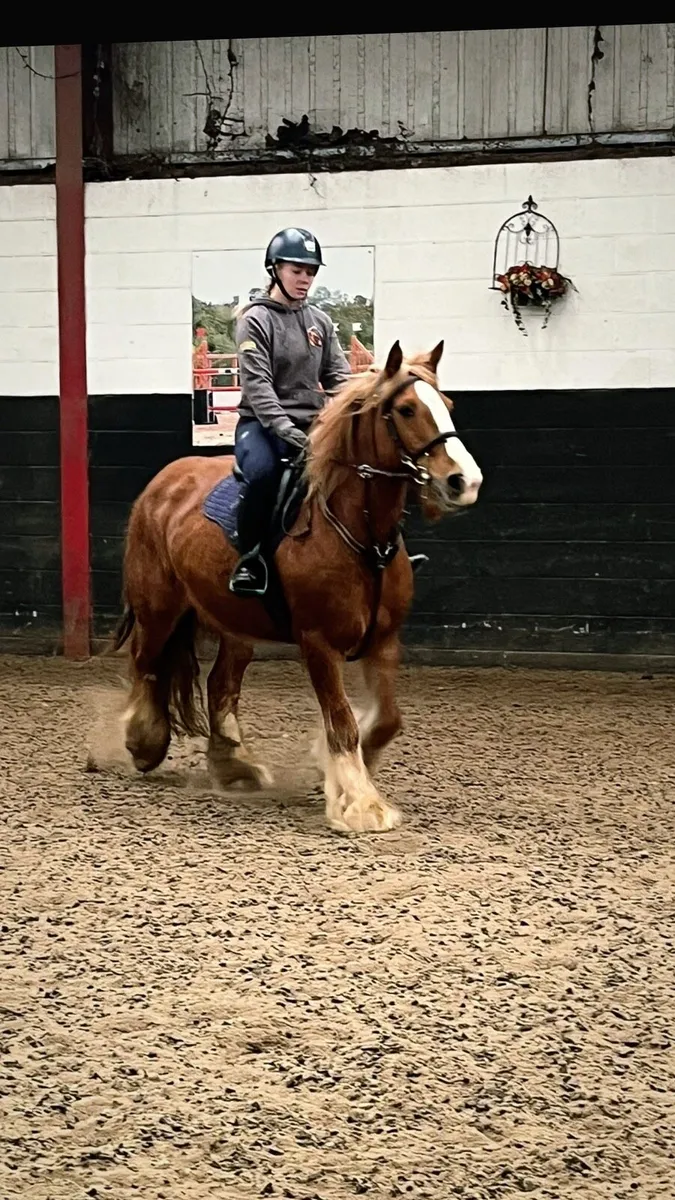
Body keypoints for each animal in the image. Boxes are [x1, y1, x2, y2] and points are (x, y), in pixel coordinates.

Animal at [110, 339, 483, 835]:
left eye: (447, 404)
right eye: (405, 409)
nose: (465, 481)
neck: (359, 534)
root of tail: (159, 487)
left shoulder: (385, 641)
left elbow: (387, 720)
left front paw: (340, 773)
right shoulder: (318, 643)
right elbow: (341, 720)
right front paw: (360, 802)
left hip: (234, 625)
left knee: (219, 683)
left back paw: (234, 765)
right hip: (158, 611)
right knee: (146, 665)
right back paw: (143, 741)